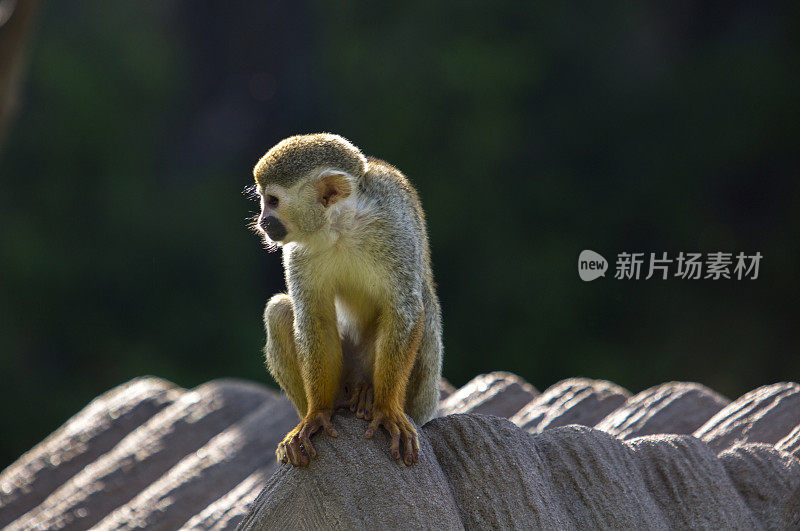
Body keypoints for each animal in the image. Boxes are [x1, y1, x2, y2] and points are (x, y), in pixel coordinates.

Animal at [252, 133, 444, 466]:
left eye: (273, 200)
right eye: (262, 200)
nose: (263, 220)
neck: (341, 225)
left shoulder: (393, 226)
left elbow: (404, 309)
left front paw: (387, 409)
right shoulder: (298, 249)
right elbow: (313, 318)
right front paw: (317, 413)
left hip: (420, 395)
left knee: (425, 310)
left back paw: (370, 394)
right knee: (278, 311)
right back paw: (339, 402)